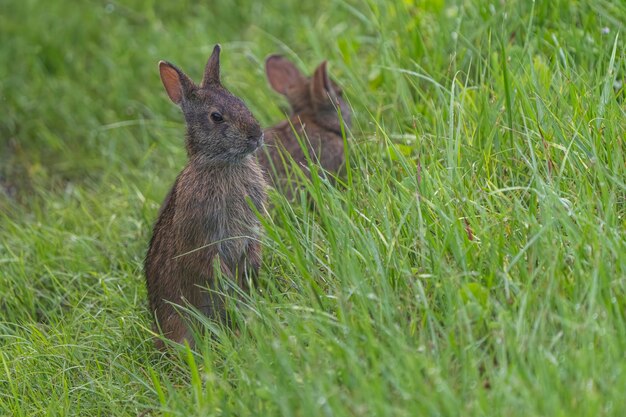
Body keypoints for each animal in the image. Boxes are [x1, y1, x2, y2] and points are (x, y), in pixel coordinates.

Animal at [144, 44, 266, 348]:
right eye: (216, 117)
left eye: (240, 101)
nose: (257, 135)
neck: (222, 164)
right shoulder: (203, 236)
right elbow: (210, 263)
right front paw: (230, 283)